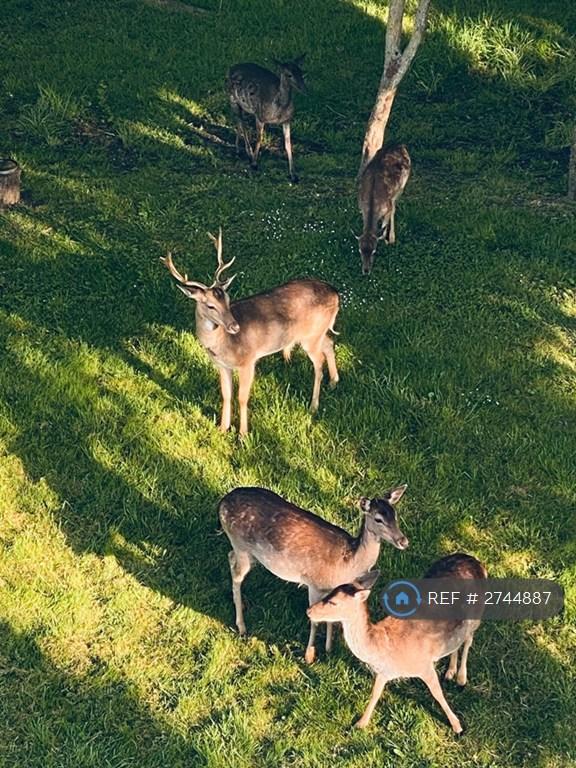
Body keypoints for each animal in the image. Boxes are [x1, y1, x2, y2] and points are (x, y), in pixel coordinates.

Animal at [161, 228, 339, 436]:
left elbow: (242, 397)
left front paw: (243, 434)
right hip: (317, 332)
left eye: (228, 299)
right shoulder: (222, 365)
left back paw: (313, 406)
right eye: (210, 306)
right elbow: (226, 394)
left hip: (310, 336)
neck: (224, 344)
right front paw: (223, 428)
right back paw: (334, 382)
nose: (235, 327)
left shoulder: (248, 360)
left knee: (319, 362)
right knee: (329, 342)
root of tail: (336, 294)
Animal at [218, 485, 409, 664]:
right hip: (241, 544)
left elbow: (331, 617)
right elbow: (315, 620)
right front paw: (309, 655)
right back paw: (242, 626)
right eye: (378, 519)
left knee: (230, 557)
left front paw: (329, 648)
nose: (403, 541)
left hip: (246, 552)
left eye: (395, 515)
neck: (348, 566)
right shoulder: (314, 583)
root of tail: (222, 503)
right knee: (237, 575)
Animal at [308, 552, 488, 734]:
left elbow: (437, 693)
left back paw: (461, 678)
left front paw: (457, 726)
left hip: (476, 615)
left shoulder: (424, 664)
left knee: (468, 639)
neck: (385, 647)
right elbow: (375, 693)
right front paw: (361, 723)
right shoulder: (384, 671)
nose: (309, 611)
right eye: (330, 592)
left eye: (333, 602)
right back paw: (450, 671)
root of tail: (474, 560)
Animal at [356, 144, 411, 275]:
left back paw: (391, 238)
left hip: (401, 187)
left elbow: (385, 223)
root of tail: (400, 145)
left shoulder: (387, 207)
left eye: (374, 251)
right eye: (360, 250)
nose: (366, 271)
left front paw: (386, 240)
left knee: (394, 206)